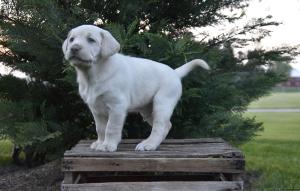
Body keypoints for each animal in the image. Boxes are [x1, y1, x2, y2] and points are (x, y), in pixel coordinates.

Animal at [62, 24, 210, 151]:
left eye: (91, 40)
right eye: (72, 39)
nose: (74, 48)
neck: (93, 74)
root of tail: (174, 72)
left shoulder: (117, 106)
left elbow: (111, 128)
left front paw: (108, 145)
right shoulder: (96, 109)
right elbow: (100, 128)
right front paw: (100, 143)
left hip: (162, 102)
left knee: (160, 126)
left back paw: (149, 144)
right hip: (147, 109)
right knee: (167, 125)